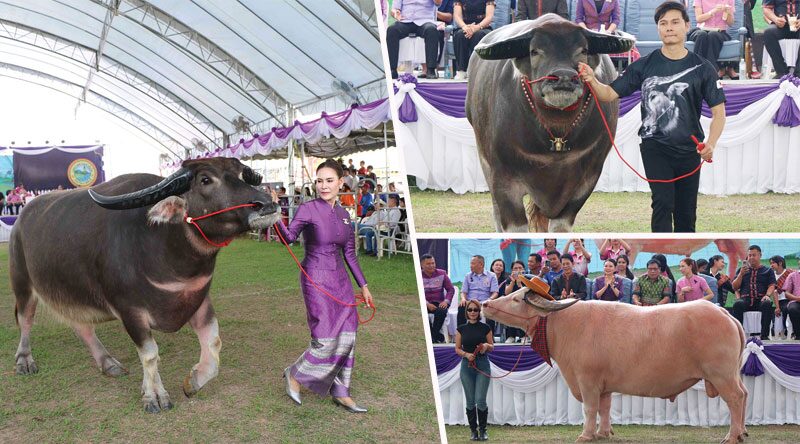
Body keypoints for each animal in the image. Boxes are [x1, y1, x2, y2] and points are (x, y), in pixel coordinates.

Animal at [9, 157, 279, 413]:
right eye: (205, 180)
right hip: (22, 283)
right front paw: (155, 396)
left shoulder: (199, 299)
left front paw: (193, 382)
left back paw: (108, 363)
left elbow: (213, 343)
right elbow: (150, 354)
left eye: (242, 175)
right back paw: (24, 361)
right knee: (25, 320)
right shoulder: (130, 310)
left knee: (82, 325)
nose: (269, 205)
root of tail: (20, 219)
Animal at [466, 14, 634, 232]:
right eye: (535, 51)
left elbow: (560, 226)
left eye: (583, 50)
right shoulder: (502, 178)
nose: (564, 78)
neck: (557, 131)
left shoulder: (586, 180)